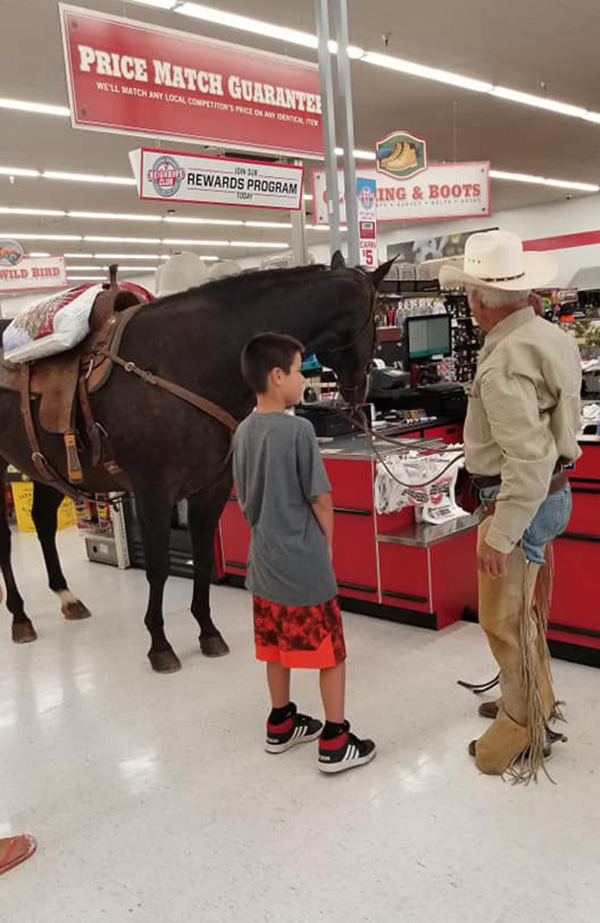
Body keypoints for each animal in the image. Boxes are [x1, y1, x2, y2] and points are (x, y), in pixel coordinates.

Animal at [0, 253, 394, 672]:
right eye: (376, 314)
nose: (361, 390)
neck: (187, 361)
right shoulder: (154, 492)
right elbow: (158, 567)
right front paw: (159, 644)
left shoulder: (212, 489)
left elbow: (203, 558)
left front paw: (208, 631)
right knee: (5, 541)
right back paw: (20, 616)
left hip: (45, 467)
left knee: (43, 522)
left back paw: (66, 597)